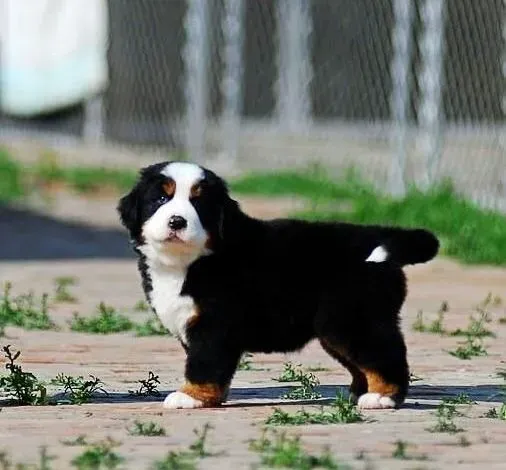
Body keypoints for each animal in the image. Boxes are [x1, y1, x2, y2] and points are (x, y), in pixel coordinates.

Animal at [118, 162, 438, 412]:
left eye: (199, 203)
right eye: (161, 198)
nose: (177, 221)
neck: (189, 261)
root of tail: (380, 236)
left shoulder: (214, 324)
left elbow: (203, 364)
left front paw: (192, 396)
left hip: (354, 319)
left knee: (385, 356)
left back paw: (382, 397)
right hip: (336, 328)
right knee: (362, 362)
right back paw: (358, 394)